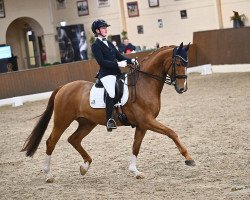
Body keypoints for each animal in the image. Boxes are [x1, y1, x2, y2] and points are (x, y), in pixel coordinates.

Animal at [21, 42, 195, 183]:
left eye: (186, 63)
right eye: (178, 63)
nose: (182, 88)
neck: (144, 84)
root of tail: (63, 87)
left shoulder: (142, 124)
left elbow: (136, 146)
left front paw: (135, 171)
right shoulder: (147, 121)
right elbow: (171, 133)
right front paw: (189, 159)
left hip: (87, 123)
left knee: (73, 139)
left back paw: (84, 167)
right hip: (62, 120)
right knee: (51, 141)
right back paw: (49, 175)